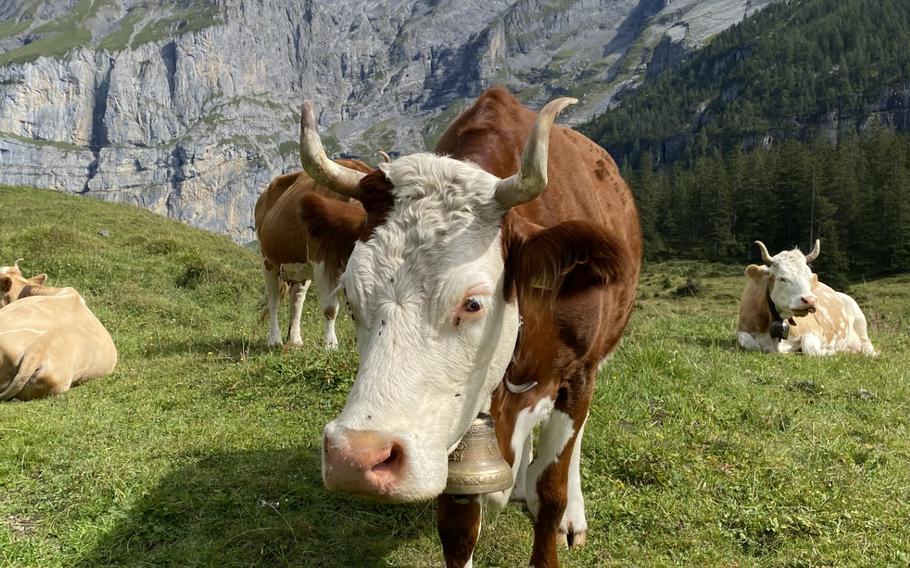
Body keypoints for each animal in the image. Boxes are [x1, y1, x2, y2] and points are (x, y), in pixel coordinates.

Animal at [253, 158, 370, 348]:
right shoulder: (321, 261)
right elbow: (330, 309)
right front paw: (330, 344)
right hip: (268, 261)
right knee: (273, 300)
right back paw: (274, 340)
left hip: (299, 269)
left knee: (296, 300)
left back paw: (295, 340)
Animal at [296, 85, 644, 568]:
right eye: (350, 297)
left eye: (473, 302)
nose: (355, 459)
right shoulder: (448, 427)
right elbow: (458, 528)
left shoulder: (577, 373)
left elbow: (551, 492)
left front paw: (556, 512)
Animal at [736, 240, 880, 356]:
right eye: (782, 278)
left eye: (809, 277)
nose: (810, 301)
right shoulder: (742, 330)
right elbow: (752, 344)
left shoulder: (814, 330)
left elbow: (809, 348)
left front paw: (831, 351)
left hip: (860, 319)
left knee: (866, 344)